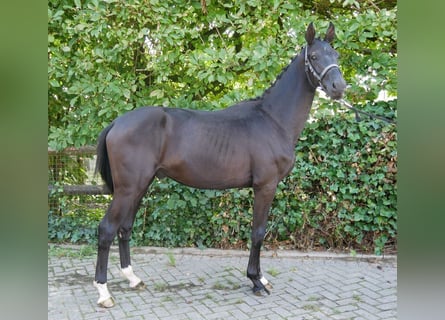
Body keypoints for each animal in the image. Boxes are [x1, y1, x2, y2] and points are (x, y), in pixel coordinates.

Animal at [92, 22, 346, 308]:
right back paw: (103, 292)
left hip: (139, 186)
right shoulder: (265, 186)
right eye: (313, 56)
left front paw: (261, 277)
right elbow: (258, 232)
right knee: (107, 229)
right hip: (127, 189)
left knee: (125, 228)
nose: (339, 87)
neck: (272, 120)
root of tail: (117, 122)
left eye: (335, 55)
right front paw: (256, 281)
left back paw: (133, 279)